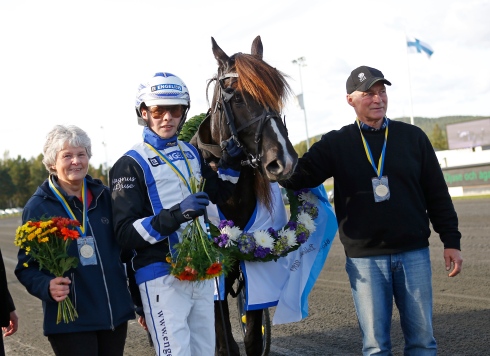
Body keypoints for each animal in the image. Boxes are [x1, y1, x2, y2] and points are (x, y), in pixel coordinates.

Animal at [196, 36, 298, 356]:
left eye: (276, 96)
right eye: (238, 98)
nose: (284, 161)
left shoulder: (253, 259)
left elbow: (252, 337)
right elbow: (224, 344)